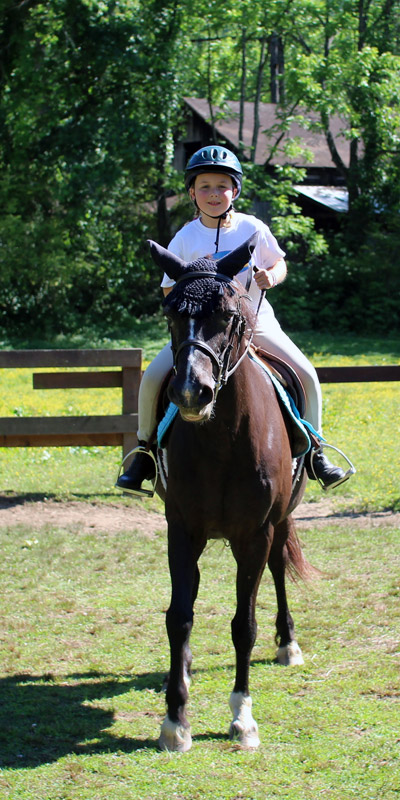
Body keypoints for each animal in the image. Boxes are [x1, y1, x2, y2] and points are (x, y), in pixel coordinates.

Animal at [148, 231, 310, 752]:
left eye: (228, 314)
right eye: (170, 314)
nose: (190, 392)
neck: (221, 439)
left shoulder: (254, 534)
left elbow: (244, 624)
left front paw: (242, 717)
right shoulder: (181, 528)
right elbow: (179, 615)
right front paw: (175, 719)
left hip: (278, 522)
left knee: (278, 571)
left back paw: (288, 643)